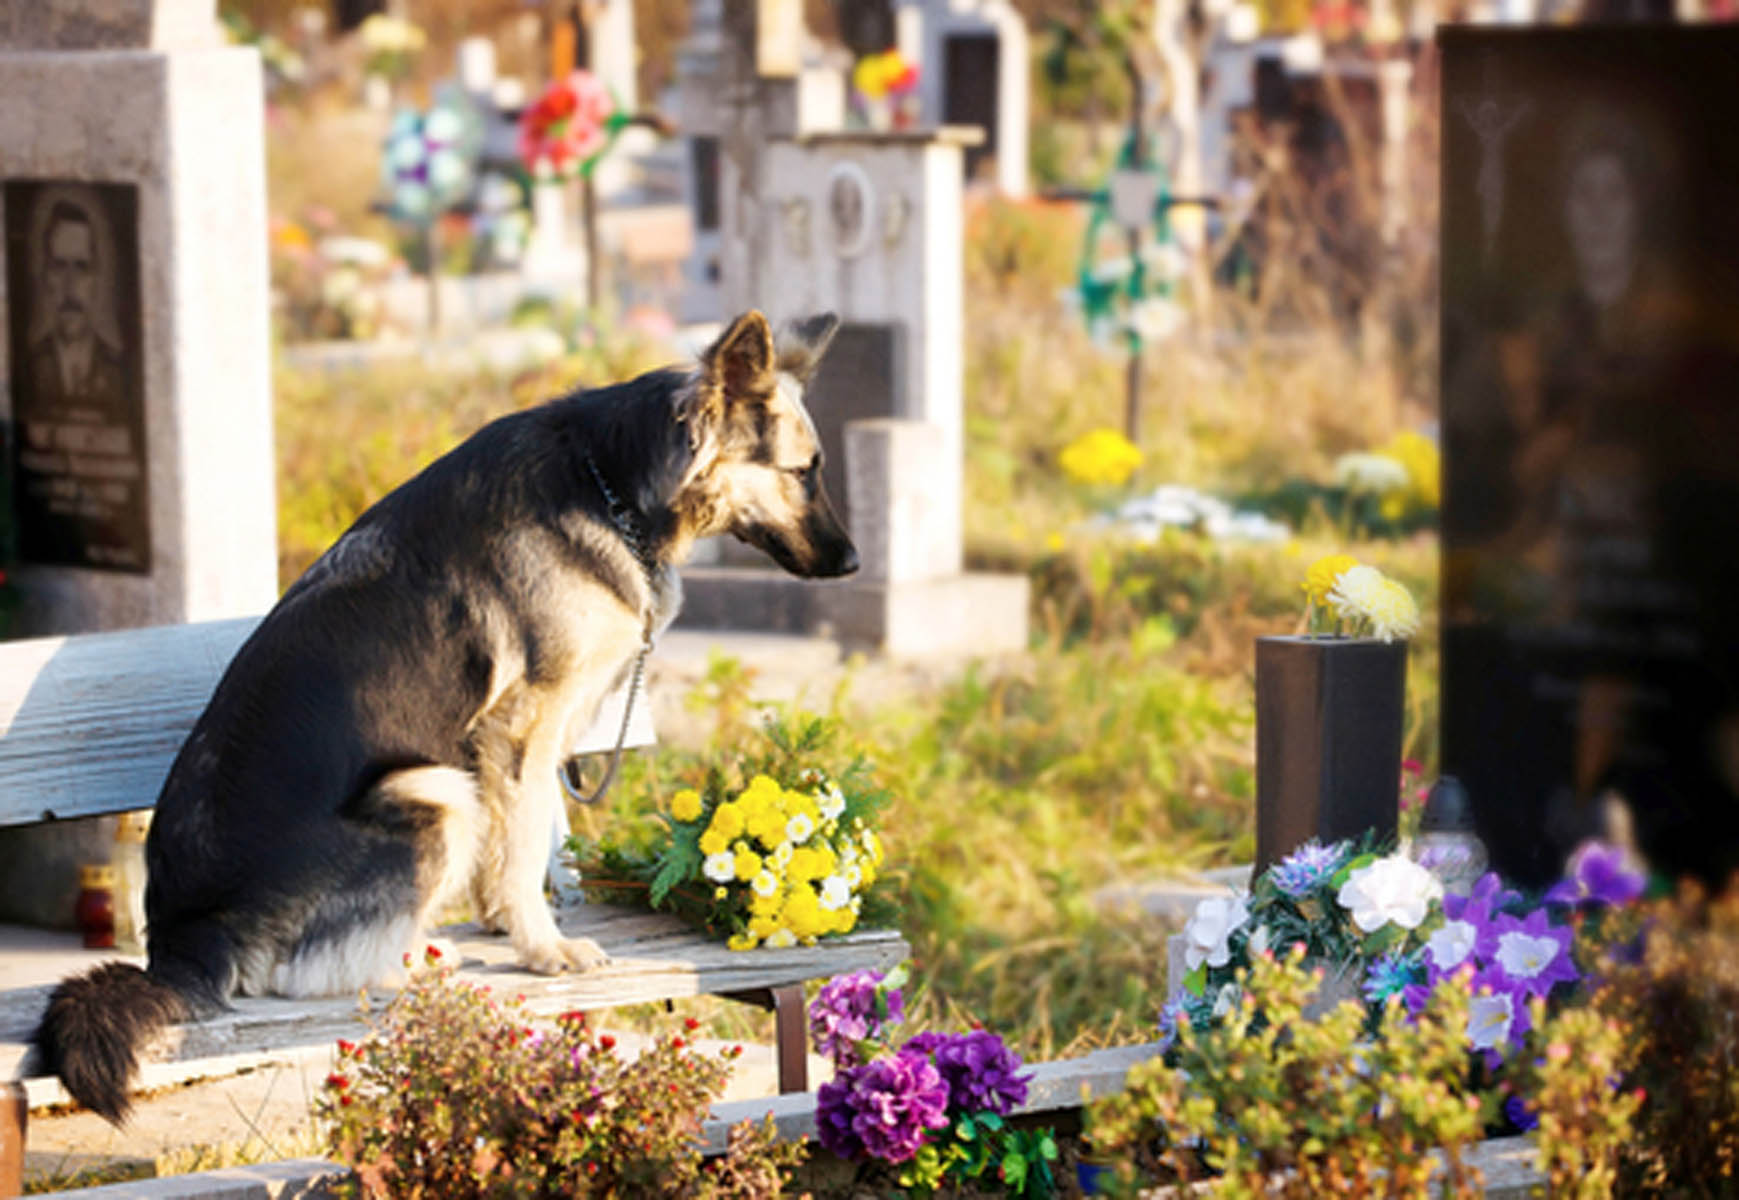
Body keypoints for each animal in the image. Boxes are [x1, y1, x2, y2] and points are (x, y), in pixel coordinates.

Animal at [30, 311, 859, 1120]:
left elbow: (514, 839)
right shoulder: (525, 723)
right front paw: (544, 949)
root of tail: (179, 945)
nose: (852, 565)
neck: (610, 485)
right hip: (429, 790)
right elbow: (522, 843)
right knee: (300, 977)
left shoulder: (519, 739)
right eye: (804, 471)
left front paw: (501, 922)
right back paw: (415, 964)